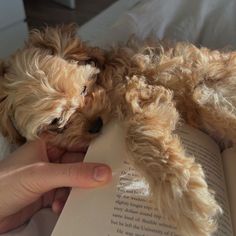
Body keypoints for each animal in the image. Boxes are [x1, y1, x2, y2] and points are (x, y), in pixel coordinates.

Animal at [0, 24, 235, 235]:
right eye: (56, 122)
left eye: (84, 89)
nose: (96, 124)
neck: (108, 76)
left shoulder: (141, 92)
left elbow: (139, 137)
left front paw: (184, 197)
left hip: (208, 93)